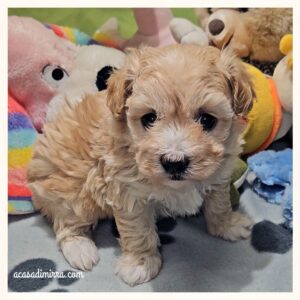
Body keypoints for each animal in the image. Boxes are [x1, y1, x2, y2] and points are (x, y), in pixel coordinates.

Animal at [28, 44, 254, 286]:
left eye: (207, 120)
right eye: (149, 118)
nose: (174, 163)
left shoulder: (219, 175)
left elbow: (219, 205)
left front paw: (228, 226)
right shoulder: (128, 194)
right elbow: (138, 231)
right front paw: (140, 264)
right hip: (70, 188)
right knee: (67, 222)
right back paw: (81, 250)